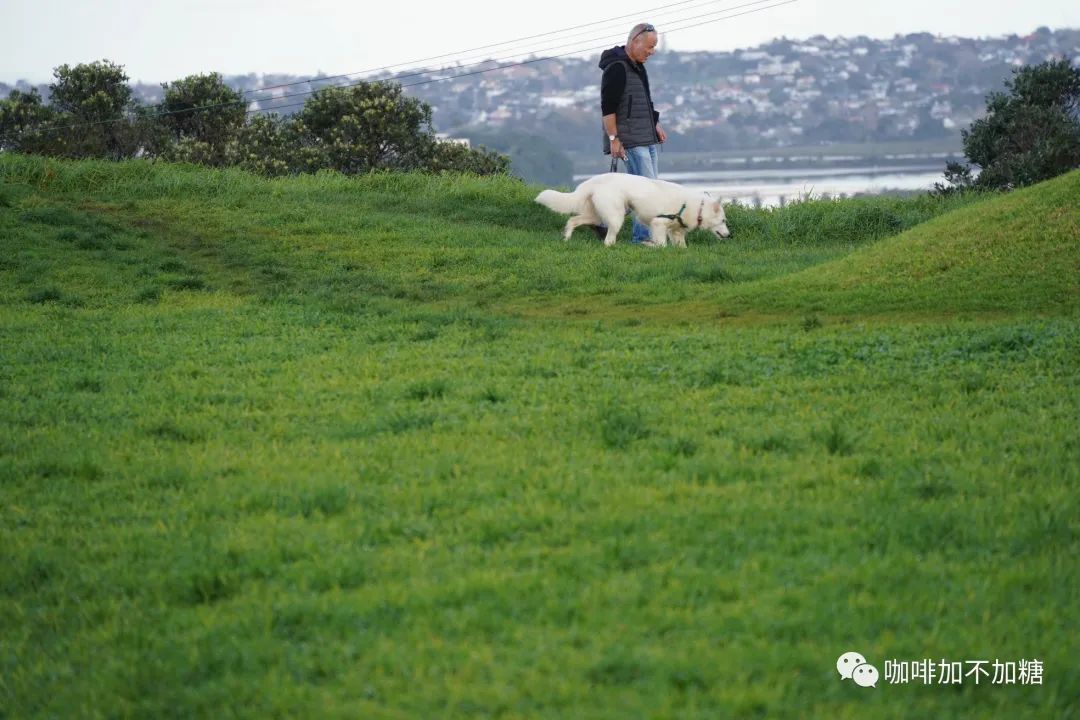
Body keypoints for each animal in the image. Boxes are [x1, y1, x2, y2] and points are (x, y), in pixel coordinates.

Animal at [535, 172, 730, 248]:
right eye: (723, 221)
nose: (729, 235)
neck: (698, 208)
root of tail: (593, 181)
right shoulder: (658, 223)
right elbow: (661, 245)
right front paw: (649, 245)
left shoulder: (676, 231)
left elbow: (681, 246)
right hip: (616, 216)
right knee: (608, 240)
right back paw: (612, 246)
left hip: (597, 216)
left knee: (573, 220)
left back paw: (567, 237)